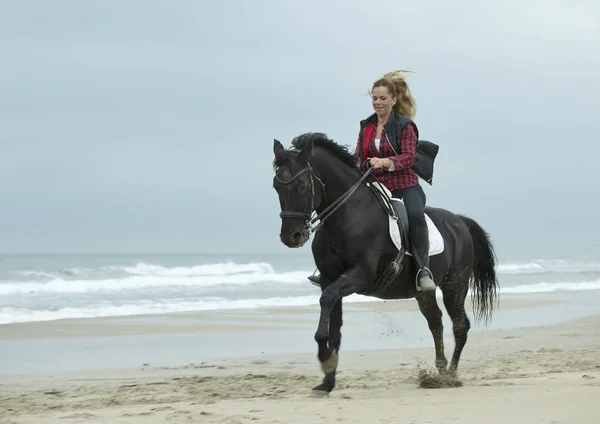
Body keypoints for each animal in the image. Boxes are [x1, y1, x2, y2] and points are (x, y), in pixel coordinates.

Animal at [272, 132, 496, 394]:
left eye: (302, 186)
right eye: (276, 186)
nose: (291, 237)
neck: (348, 214)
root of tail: (460, 222)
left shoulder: (360, 276)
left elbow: (326, 302)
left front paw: (325, 359)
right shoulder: (330, 278)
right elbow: (334, 328)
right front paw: (327, 381)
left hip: (455, 285)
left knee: (460, 326)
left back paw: (450, 375)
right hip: (423, 292)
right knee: (436, 323)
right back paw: (439, 372)